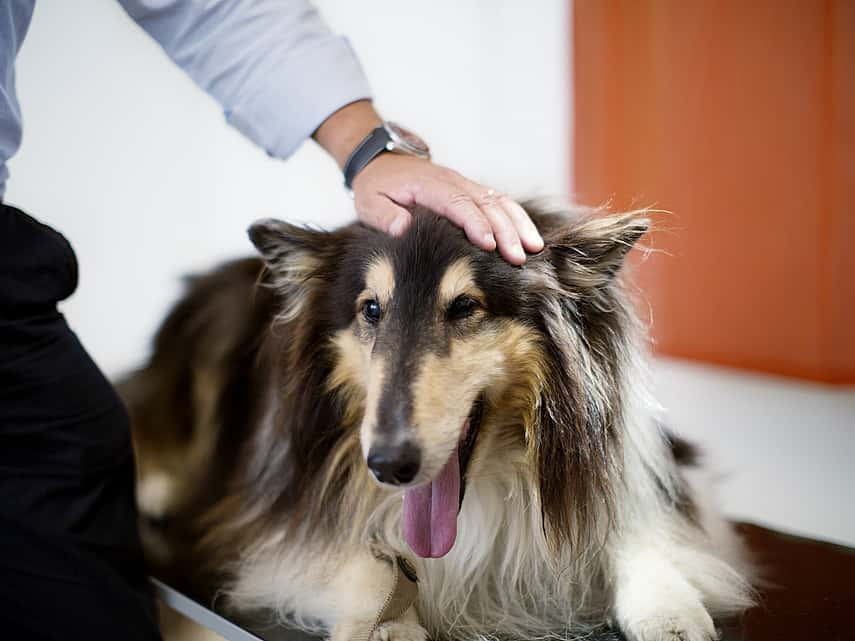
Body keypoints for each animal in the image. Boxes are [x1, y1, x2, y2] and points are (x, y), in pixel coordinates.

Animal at [122, 202, 756, 640]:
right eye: (371, 309)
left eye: (465, 307)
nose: (388, 465)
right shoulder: (278, 520)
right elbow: (362, 562)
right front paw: (389, 626)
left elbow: (639, 528)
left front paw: (669, 611)